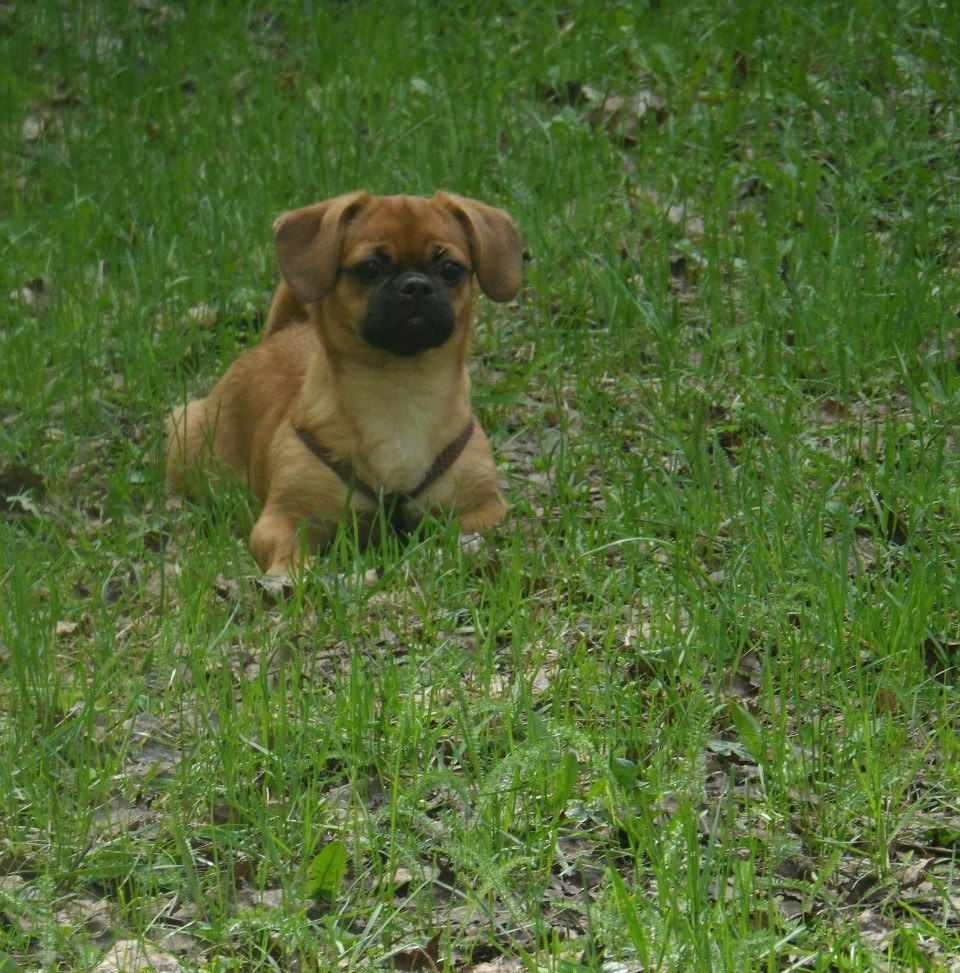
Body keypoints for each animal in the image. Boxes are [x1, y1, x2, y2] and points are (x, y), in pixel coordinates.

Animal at [167, 190, 524, 576]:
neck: (401, 392)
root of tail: (283, 331)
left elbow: (460, 528)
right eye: (369, 268)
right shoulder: (283, 518)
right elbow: (285, 546)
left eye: (450, 269)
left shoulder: (484, 507)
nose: (416, 285)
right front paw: (295, 572)